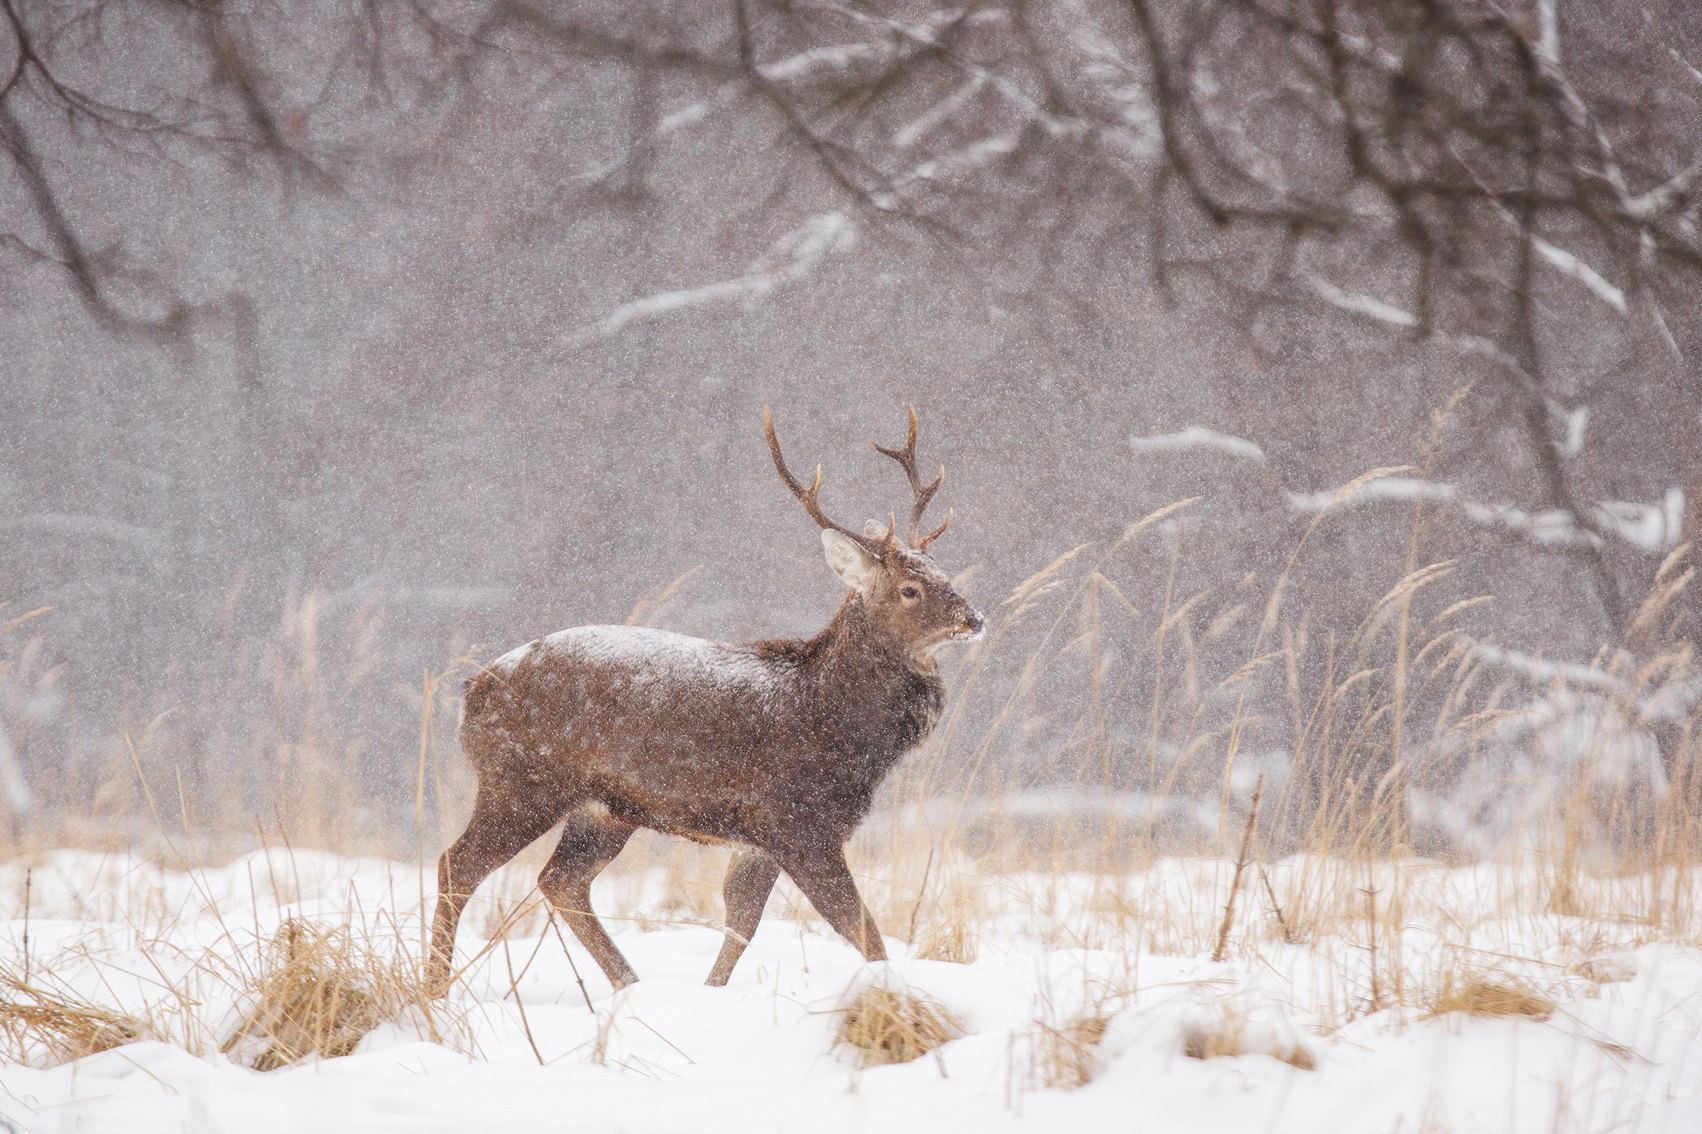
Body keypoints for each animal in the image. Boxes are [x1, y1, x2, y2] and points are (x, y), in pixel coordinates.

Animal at [425, 403, 987, 987]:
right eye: (909, 589)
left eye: (944, 573)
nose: (974, 618)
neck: (838, 725)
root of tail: (475, 689)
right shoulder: (794, 818)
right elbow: (863, 931)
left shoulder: (759, 838)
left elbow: (740, 925)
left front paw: (712, 993)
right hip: (521, 779)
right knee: (457, 866)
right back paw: (435, 989)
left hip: (603, 808)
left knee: (560, 879)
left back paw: (629, 985)